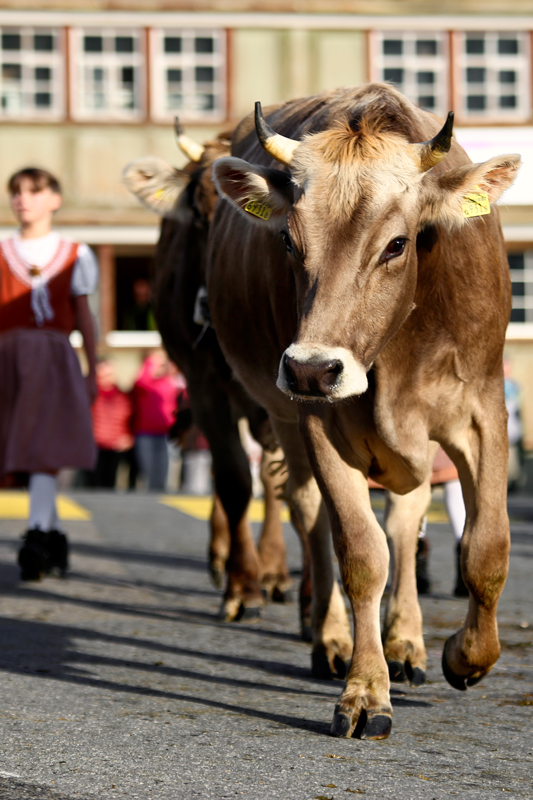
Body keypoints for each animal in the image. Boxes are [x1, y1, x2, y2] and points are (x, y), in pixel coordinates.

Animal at [121, 125, 308, 624]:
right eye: (197, 218)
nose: (206, 305)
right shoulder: (203, 385)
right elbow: (233, 480)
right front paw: (242, 586)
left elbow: (272, 481)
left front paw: (268, 572)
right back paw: (223, 555)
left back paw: (273, 567)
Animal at [208, 84, 520, 740]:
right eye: (289, 242)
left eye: (396, 244)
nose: (311, 368)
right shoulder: (320, 422)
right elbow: (358, 552)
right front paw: (364, 691)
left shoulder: (483, 409)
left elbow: (486, 547)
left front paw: (466, 656)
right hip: (282, 419)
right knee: (308, 514)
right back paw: (329, 639)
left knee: (406, 520)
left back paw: (407, 642)